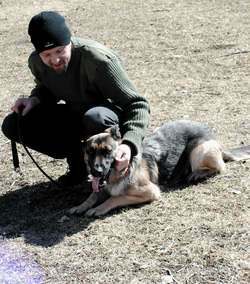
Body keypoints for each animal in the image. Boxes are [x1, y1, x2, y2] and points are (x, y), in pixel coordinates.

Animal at [69, 118, 250, 216]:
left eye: (108, 151)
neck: (121, 172)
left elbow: (115, 197)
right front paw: (80, 206)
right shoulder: (101, 187)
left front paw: (99, 208)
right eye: (90, 152)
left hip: (199, 150)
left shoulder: (150, 191)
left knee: (219, 167)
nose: (97, 171)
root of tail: (216, 140)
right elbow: (92, 196)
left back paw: (197, 173)